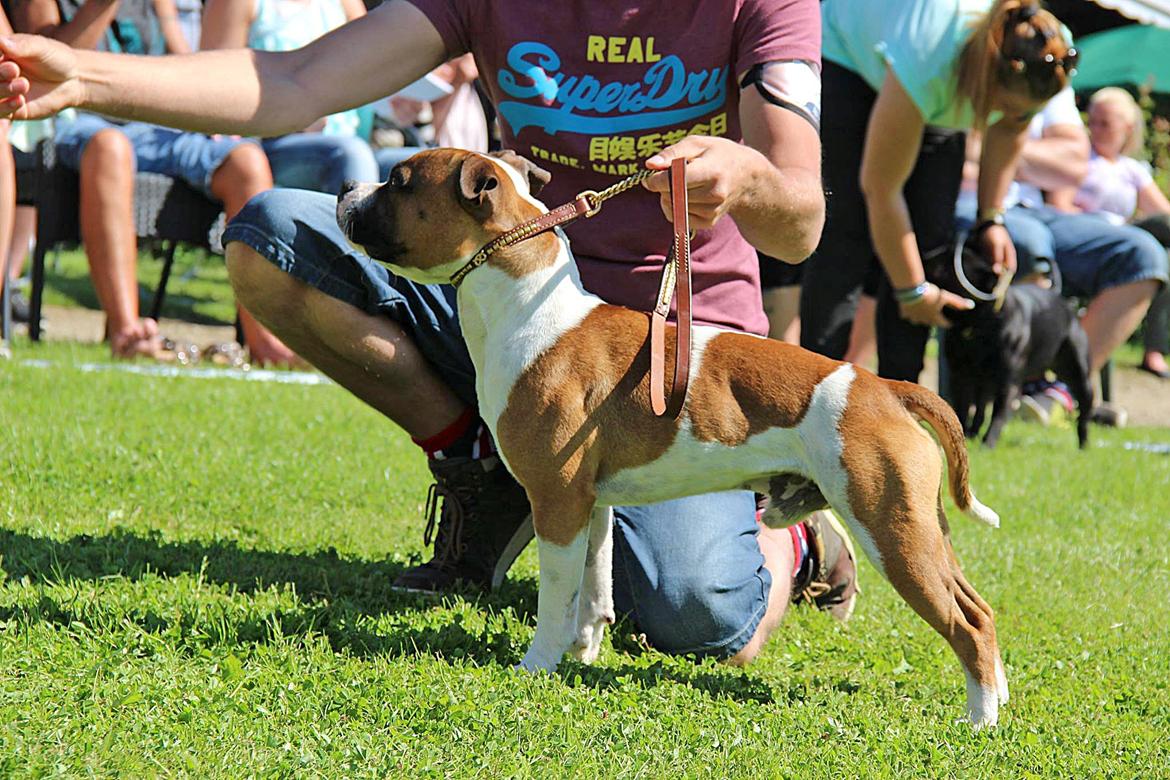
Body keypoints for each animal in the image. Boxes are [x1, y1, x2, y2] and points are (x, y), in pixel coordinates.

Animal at [336, 149, 1006, 729]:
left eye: (399, 181)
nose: (345, 188)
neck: (529, 308)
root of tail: (884, 385)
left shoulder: (556, 501)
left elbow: (557, 594)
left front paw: (538, 664)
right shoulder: (590, 504)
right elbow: (594, 586)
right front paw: (582, 654)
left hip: (889, 529)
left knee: (965, 624)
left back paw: (978, 721)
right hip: (918, 527)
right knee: (979, 607)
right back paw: (996, 699)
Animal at [935, 244, 1090, 451]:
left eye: (946, 264)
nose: (928, 255)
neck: (977, 325)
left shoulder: (1007, 382)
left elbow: (998, 414)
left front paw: (988, 442)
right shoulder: (960, 374)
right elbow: (962, 408)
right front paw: (961, 438)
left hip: (1077, 373)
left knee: (1084, 412)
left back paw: (1084, 443)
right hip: (983, 380)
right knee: (980, 407)